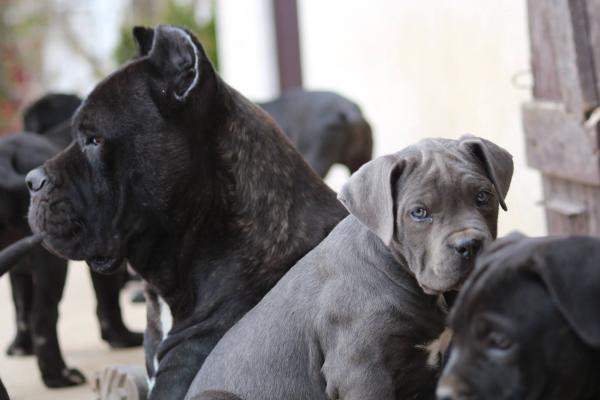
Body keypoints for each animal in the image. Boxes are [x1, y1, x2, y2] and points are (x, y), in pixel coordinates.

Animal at [0, 94, 142, 388]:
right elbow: (109, 300)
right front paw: (122, 338)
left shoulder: (19, 270)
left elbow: (20, 307)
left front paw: (20, 347)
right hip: (51, 263)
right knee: (44, 316)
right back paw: (58, 375)